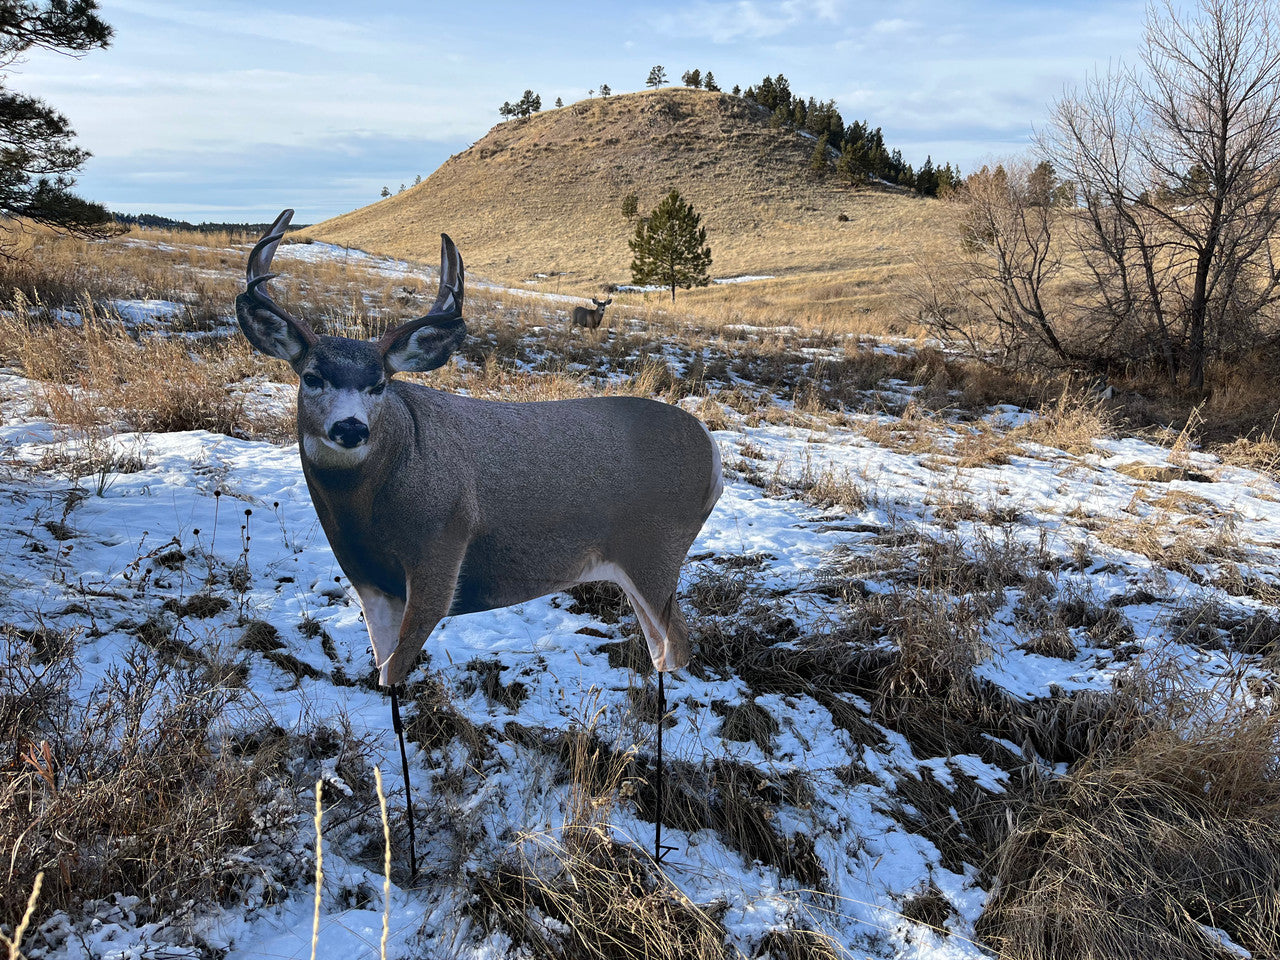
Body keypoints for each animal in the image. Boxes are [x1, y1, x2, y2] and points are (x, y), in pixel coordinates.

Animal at [238, 212, 721, 691]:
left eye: (379, 384)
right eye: (311, 377)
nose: (351, 427)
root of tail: (712, 448)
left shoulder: (442, 546)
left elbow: (395, 671)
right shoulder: (367, 577)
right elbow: (382, 667)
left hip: (656, 546)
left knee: (678, 644)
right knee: (662, 646)